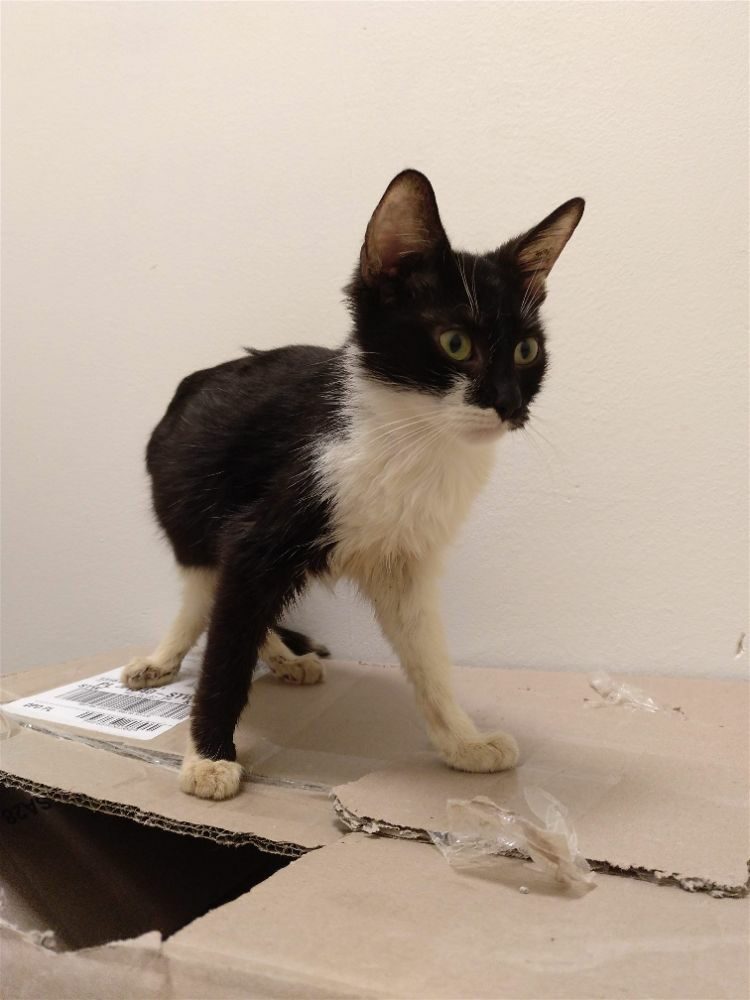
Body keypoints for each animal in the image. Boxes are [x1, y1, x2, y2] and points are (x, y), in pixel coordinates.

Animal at [122, 170, 584, 801]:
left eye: (526, 350)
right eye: (455, 343)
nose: (509, 404)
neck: (415, 436)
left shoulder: (405, 562)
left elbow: (428, 656)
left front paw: (463, 741)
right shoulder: (258, 533)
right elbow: (226, 645)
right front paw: (209, 757)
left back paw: (284, 658)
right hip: (187, 509)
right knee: (206, 595)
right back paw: (165, 658)